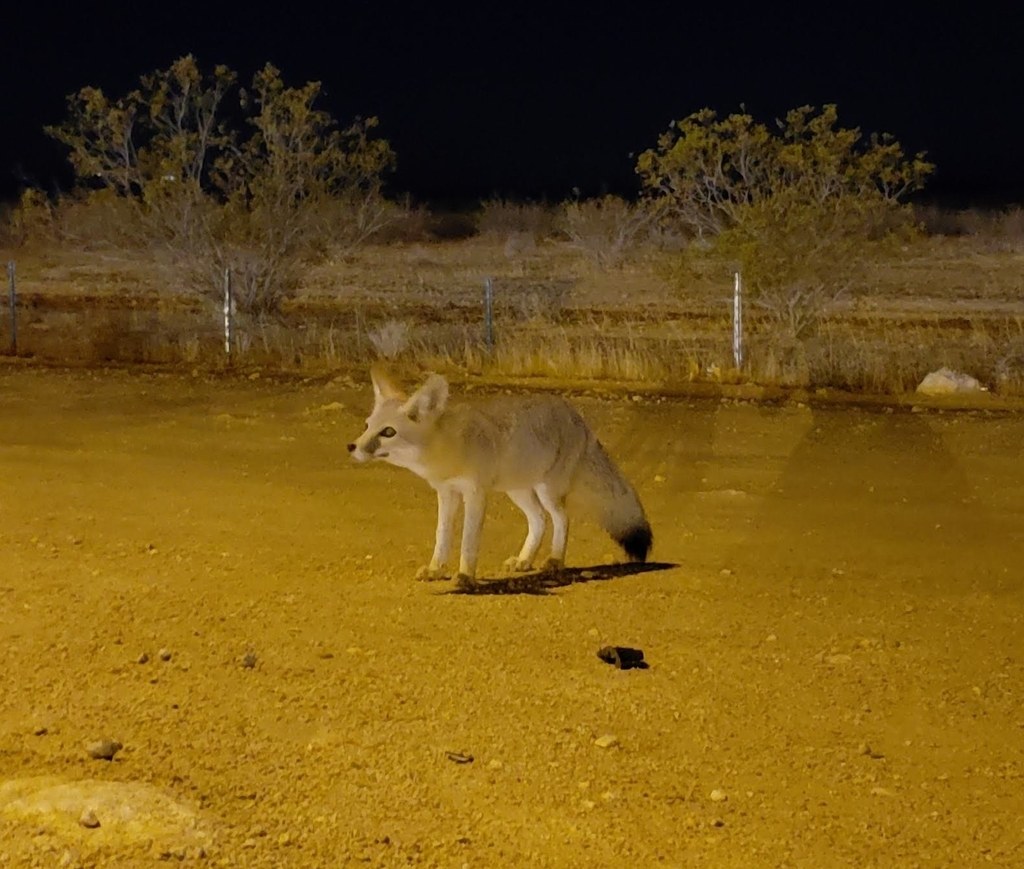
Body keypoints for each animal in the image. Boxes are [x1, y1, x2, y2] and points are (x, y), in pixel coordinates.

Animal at [346, 367, 652, 585]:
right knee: (539, 520)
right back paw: (524, 560)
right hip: (518, 491)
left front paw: (465, 577)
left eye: (388, 432)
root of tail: (575, 414)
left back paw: (555, 559)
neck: (448, 449)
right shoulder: (446, 493)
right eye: (366, 426)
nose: (352, 447)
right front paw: (436, 570)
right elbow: (441, 535)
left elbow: (469, 539)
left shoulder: (475, 493)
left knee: (561, 519)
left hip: (547, 491)